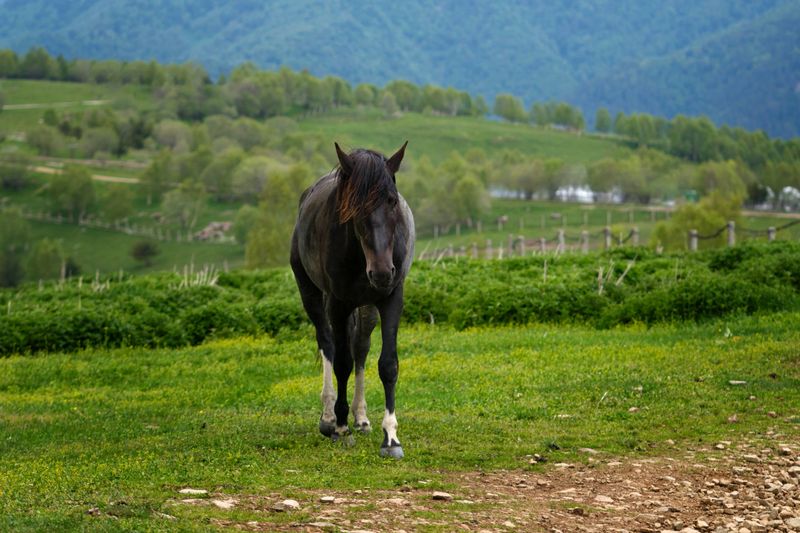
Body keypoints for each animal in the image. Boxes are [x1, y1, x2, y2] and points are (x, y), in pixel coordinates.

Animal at [290, 141, 415, 459]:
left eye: (392, 201)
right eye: (354, 208)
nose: (381, 272)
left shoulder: (391, 298)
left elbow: (388, 364)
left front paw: (391, 437)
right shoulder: (338, 303)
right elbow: (342, 362)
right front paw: (340, 426)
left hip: (366, 306)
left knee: (360, 346)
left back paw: (361, 417)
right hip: (312, 294)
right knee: (328, 343)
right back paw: (329, 417)